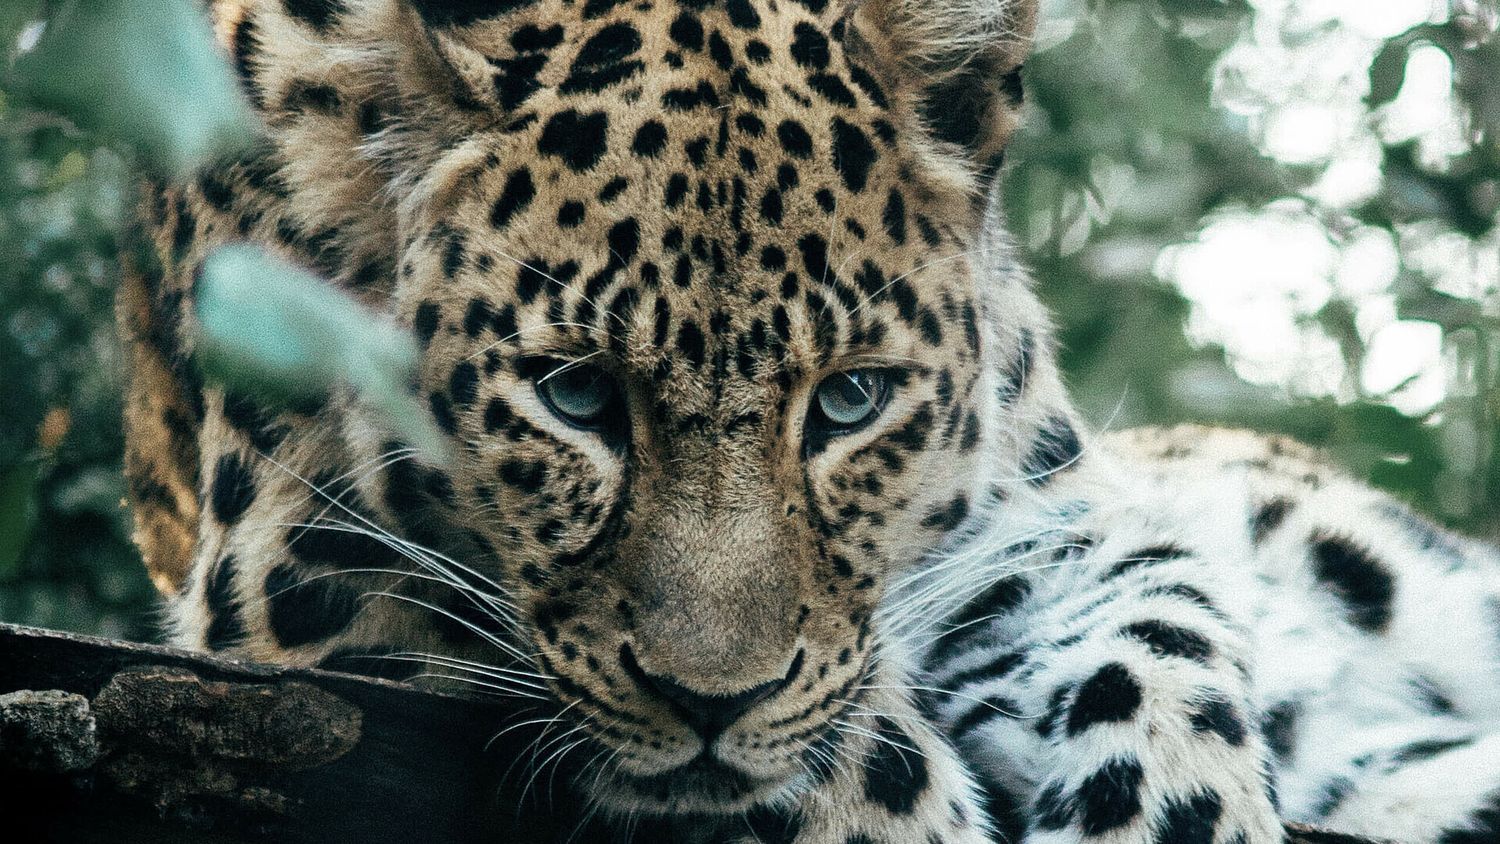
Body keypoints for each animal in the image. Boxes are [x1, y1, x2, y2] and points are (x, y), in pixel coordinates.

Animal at [115, 0, 1500, 841]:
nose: (710, 703)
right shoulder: (297, 567)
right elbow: (834, 743)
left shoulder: (1034, 521)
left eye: (850, 399)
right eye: (575, 394)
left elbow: (1158, 633)